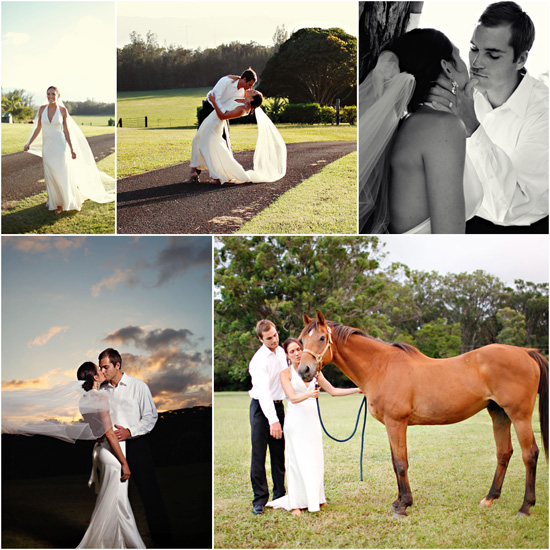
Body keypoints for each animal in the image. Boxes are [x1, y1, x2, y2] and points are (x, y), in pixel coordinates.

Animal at [300, 312, 548, 520]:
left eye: (321, 338)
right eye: (302, 340)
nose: (304, 370)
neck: (381, 366)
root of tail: (526, 352)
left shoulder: (396, 423)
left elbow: (401, 463)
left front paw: (403, 506)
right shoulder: (391, 425)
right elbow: (395, 462)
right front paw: (398, 501)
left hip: (520, 416)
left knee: (530, 454)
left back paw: (525, 507)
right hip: (499, 414)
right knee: (504, 453)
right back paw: (490, 498)